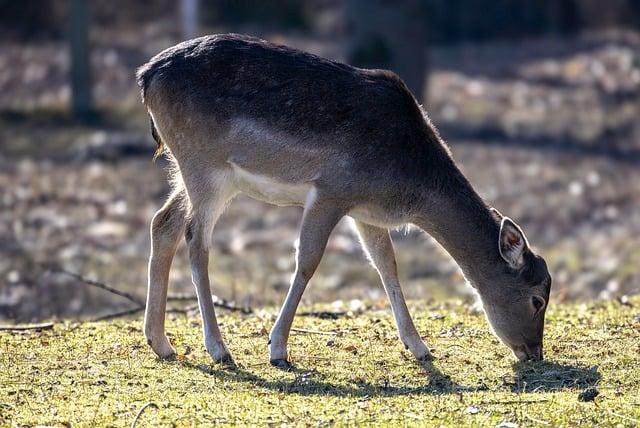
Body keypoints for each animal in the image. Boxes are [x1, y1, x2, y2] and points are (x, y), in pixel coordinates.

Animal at [135, 33, 552, 368]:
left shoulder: (364, 211)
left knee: (163, 222)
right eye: (537, 299)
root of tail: (146, 75)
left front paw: (419, 347)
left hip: (191, 168)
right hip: (206, 165)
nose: (534, 352)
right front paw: (277, 349)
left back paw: (161, 343)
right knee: (195, 238)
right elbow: (308, 260)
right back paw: (219, 349)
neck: (408, 182)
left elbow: (387, 265)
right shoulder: (332, 190)